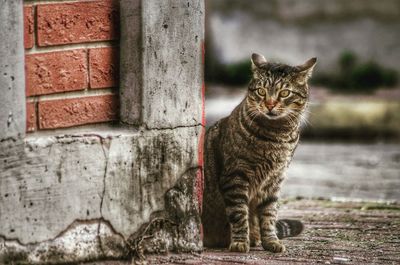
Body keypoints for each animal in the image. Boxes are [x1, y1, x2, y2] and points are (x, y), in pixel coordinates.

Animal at [203, 52, 316, 252]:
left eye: (284, 93)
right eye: (261, 91)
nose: (269, 104)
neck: (277, 136)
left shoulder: (274, 181)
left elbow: (269, 215)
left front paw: (271, 242)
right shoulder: (236, 176)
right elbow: (239, 213)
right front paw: (240, 242)